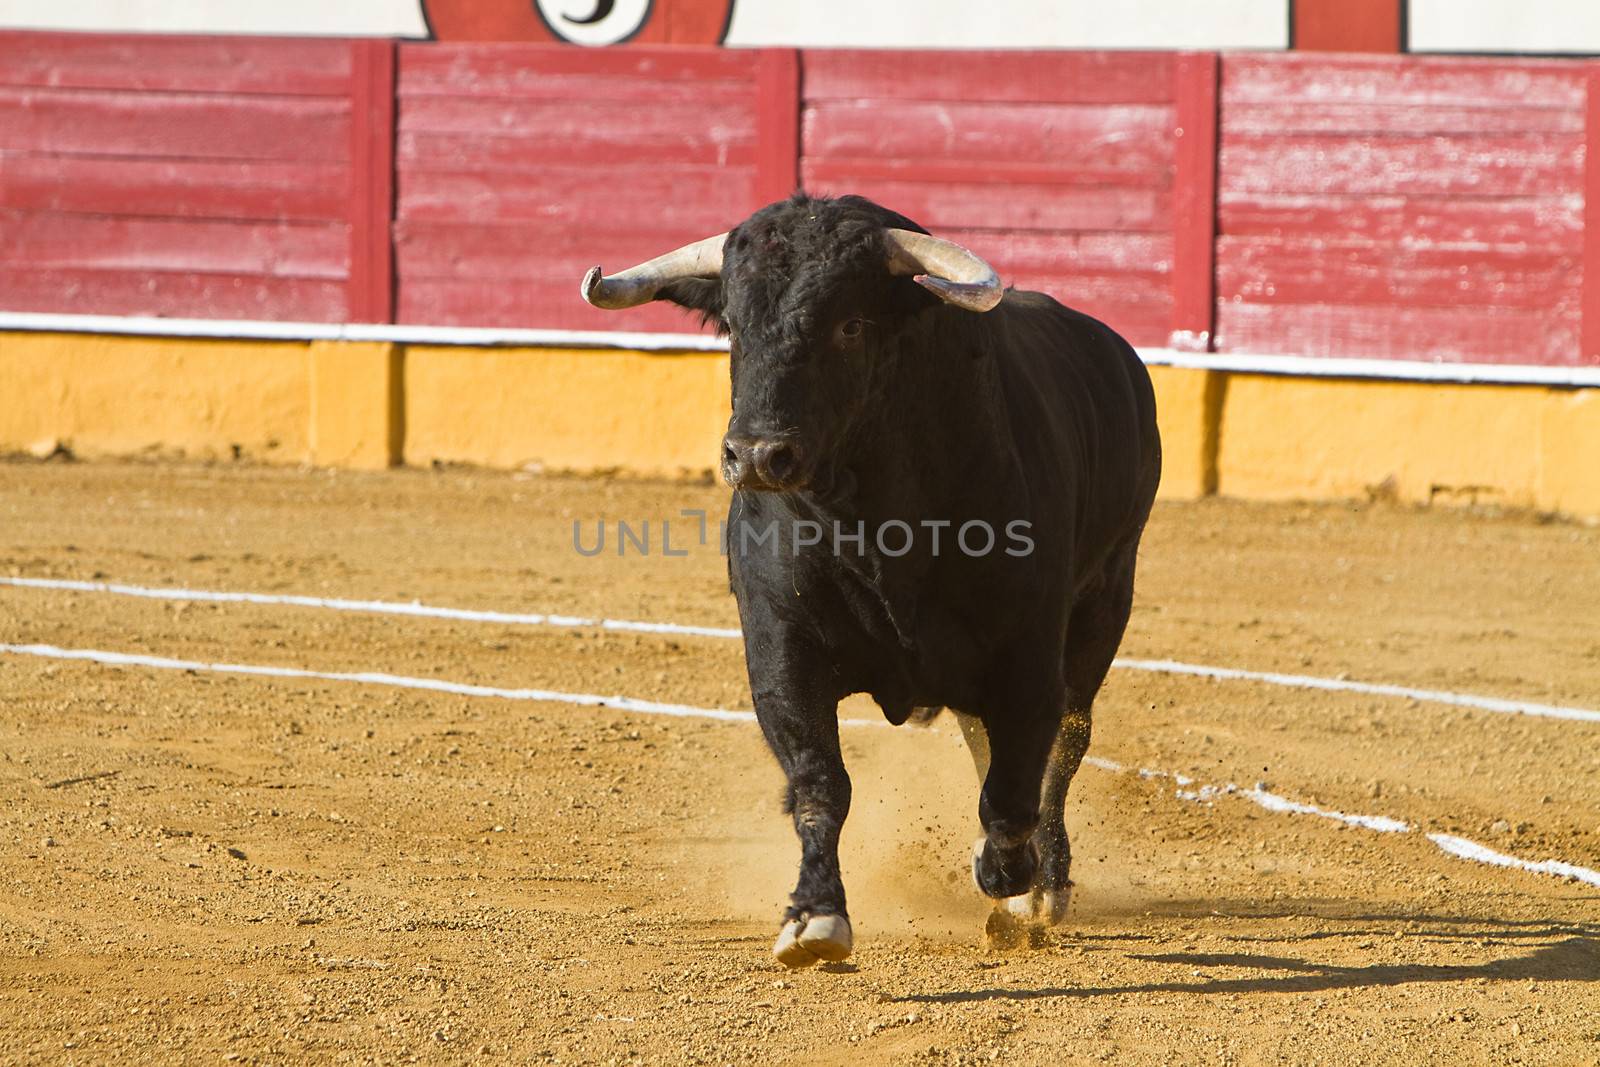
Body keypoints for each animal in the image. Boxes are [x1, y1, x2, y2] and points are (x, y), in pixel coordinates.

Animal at [582, 194, 1158, 966]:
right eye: (733, 324)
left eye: (850, 324)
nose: (756, 453)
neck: (874, 524)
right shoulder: (781, 650)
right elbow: (820, 781)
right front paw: (815, 916)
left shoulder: (1028, 653)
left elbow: (1017, 784)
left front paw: (1014, 878)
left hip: (1105, 601)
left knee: (1067, 742)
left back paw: (1040, 888)